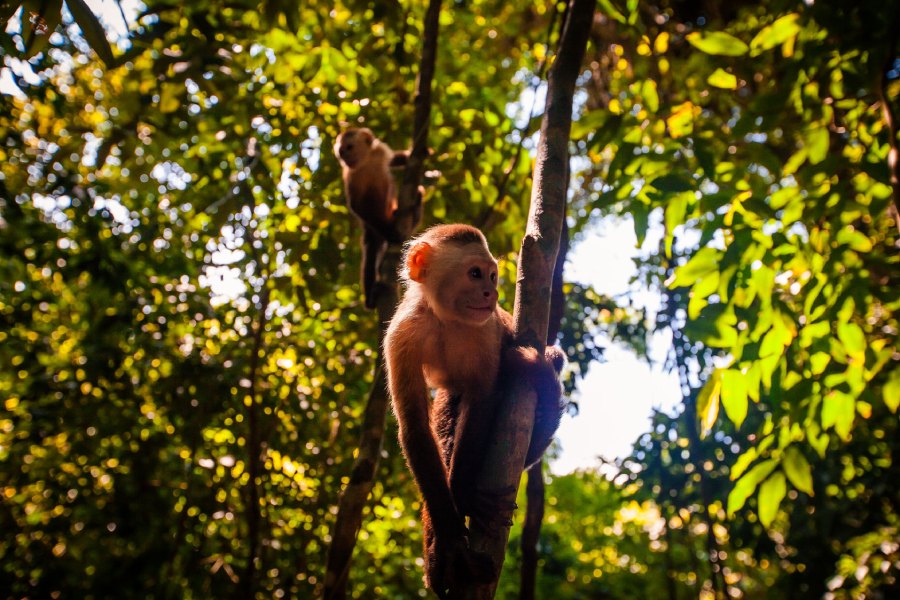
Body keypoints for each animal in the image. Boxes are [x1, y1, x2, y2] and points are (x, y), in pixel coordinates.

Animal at [334, 127, 426, 310]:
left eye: (349, 148)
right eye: (341, 153)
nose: (345, 157)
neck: (366, 161)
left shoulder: (379, 151)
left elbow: (394, 159)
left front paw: (418, 153)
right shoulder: (352, 174)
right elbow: (357, 206)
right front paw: (391, 234)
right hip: (372, 229)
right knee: (370, 251)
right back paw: (370, 299)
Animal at [384, 224, 568, 596]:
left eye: (493, 276)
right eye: (474, 274)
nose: (490, 293)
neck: (445, 319)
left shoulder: (486, 332)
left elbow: (483, 399)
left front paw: (465, 496)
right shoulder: (402, 333)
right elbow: (415, 428)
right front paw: (450, 540)